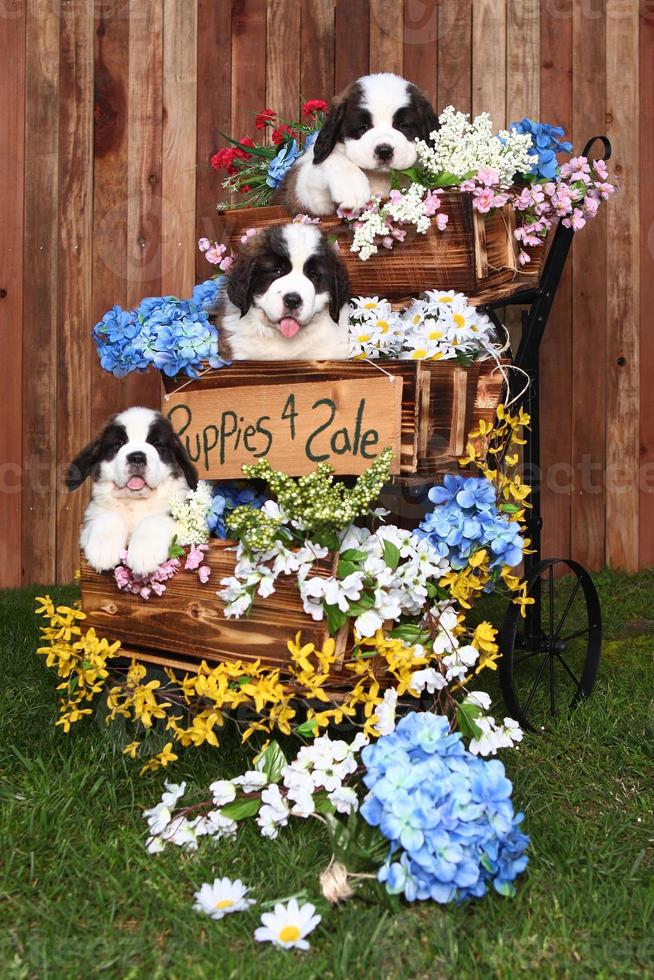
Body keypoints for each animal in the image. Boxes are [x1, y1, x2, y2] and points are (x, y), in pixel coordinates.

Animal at [67, 404, 201, 576]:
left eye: (157, 444)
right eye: (118, 444)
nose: (137, 457)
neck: (135, 502)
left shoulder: (185, 523)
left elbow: (154, 520)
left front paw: (143, 554)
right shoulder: (93, 514)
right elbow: (109, 516)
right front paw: (102, 551)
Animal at [272, 72, 440, 216]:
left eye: (403, 126)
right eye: (363, 127)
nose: (384, 151)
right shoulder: (303, 195)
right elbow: (334, 160)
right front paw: (351, 187)